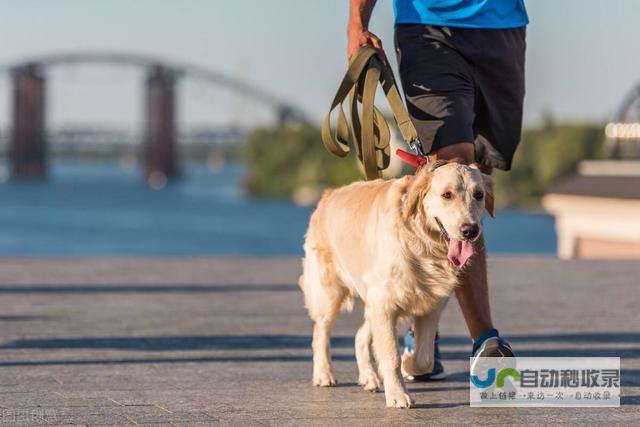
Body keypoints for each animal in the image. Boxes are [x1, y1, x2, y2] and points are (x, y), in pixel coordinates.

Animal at [298, 162, 496, 410]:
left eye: (478, 195)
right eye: (447, 195)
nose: (470, 230)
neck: (424, 244)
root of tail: (328, 194)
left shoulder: (430, 306)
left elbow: (424, 358)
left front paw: (408, 364)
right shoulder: (385, 304)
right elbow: (391, 355)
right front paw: (398, 394)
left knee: (359, 336)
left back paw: (369, 377)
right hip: (329, 294)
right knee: (320, 334)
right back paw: (324, 374)